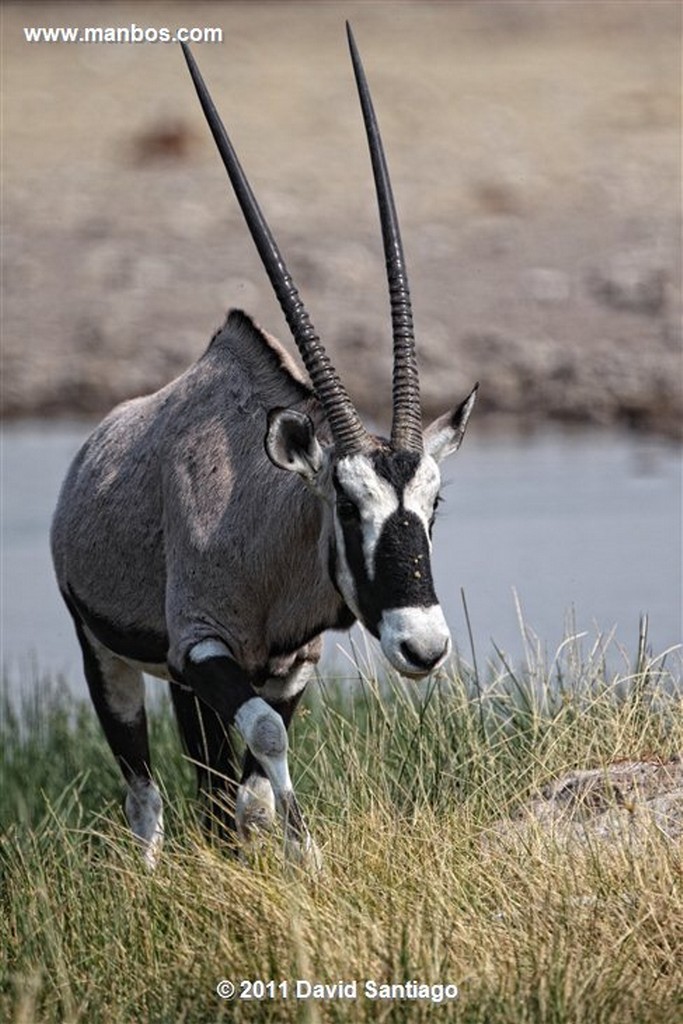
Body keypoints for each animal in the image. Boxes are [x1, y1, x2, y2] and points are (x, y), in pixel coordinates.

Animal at [50, 28, 479, 868]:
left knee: (209, 787)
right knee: (144, 791)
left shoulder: (285, 668)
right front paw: (306, 858)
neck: (263, 524)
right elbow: (266, 741)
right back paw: (147, 880)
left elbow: (248, 790)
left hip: (178, 684)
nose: (422, 647)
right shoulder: (205, 650)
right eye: (345, 505)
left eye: (433, 501)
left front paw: (274, 857)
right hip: (108, 657)